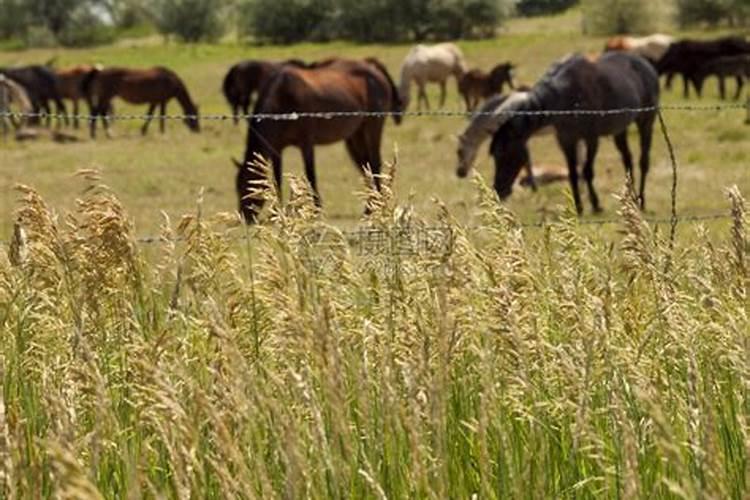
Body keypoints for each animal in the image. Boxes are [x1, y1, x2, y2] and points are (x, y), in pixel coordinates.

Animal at [236, 56, 406, 223]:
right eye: (237, 188)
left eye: (248, 187)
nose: (245, 218)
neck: (283, 98)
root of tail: (372, 67)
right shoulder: (277, 149)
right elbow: (277, 179)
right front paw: (278, 213)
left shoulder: (306, 143)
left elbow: (310, 175)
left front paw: (316, 210)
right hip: (355, 136)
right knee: (365, 165)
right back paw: (371, 207)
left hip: (372, 128)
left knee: (375, 162)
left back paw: (376, 206)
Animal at [488, 52, 656, 215]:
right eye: (494, 155)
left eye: (505, 154)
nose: (498, 190)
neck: (566, 94)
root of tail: (646, 64)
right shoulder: (565, 139)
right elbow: (573, 173)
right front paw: (578, 207)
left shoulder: (591, 138)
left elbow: (587, 171)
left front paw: (596, 205)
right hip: (620, 130)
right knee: (627, 160)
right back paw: (632, 200)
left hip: (646, 121)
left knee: (643, 161)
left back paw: (641, 200)